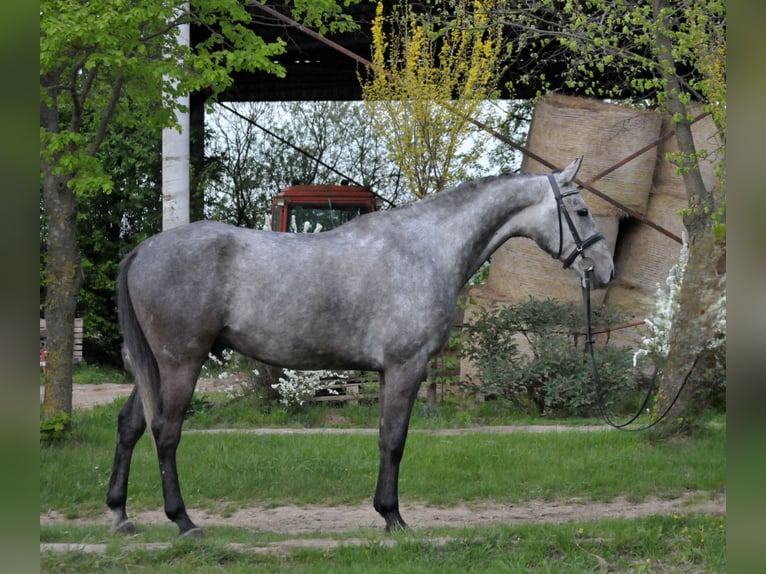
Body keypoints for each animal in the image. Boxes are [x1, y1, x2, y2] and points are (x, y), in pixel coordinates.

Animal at [106, 157, 614, 537]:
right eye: (582, 212)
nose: (605, 270)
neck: (426, 248)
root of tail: (142, 251)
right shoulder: (406, 367)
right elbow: (394, 441)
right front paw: (393, 517)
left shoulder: (391, 372)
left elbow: (385, 438)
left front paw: (386, 512)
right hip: (181, 363)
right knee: (166, 432)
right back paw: (184, 521)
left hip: (155, 366)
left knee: (131, 424)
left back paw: (120, 514)